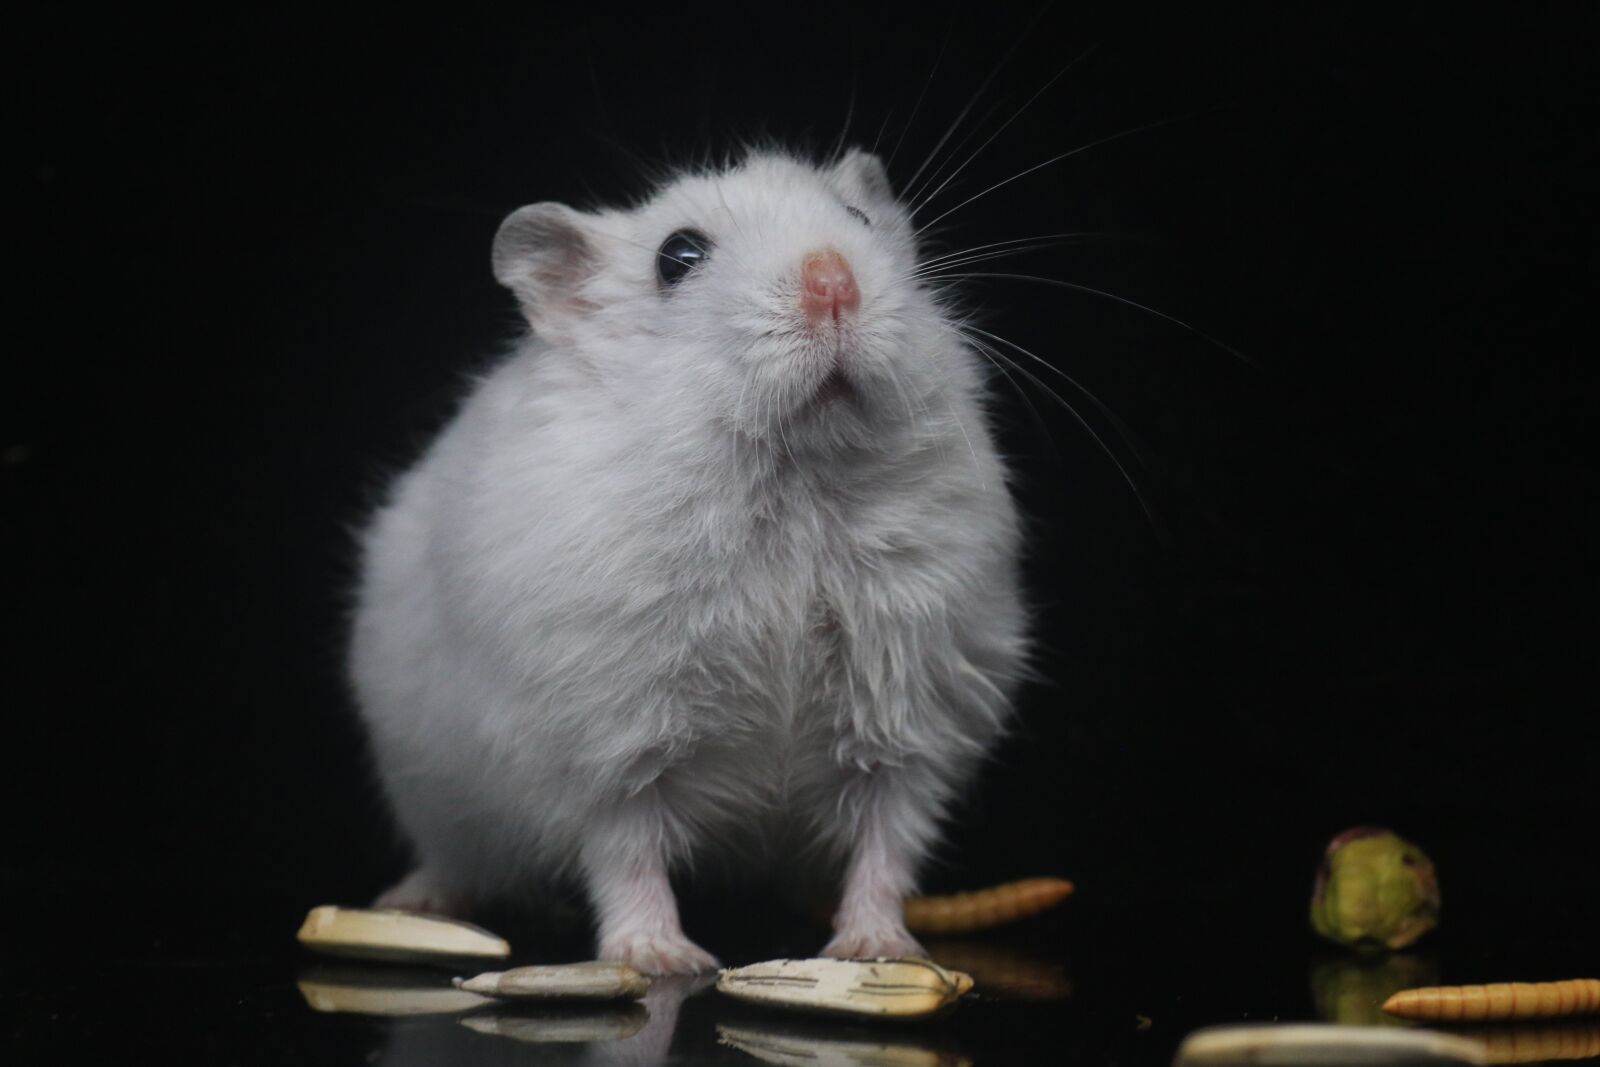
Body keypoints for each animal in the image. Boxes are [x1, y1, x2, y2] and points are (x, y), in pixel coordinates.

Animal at [348, 148, 1028, 974]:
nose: (834, 279)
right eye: (678, 256)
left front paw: (877, 950)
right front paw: (663, 958)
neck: (794, 479)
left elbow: (886, 842)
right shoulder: (604, 740)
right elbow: (627, 851)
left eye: (860, 219)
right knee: (454, 860)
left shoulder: (910, 720)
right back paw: (408, 905)